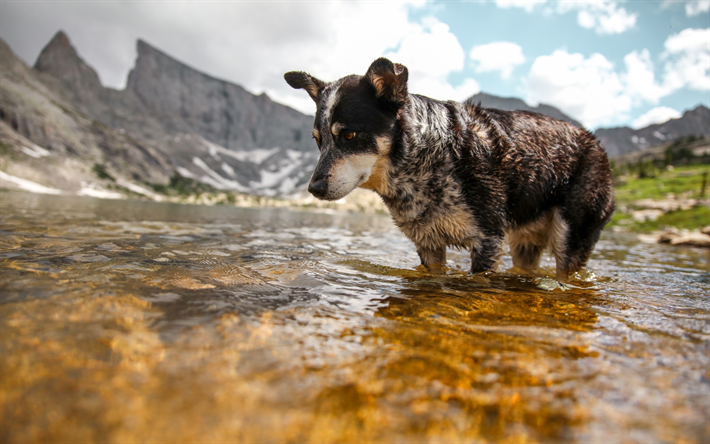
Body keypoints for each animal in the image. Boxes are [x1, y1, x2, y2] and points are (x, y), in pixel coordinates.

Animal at [286, 56, 616, 278]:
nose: (314, 188)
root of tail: (596, 143)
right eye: (318, 141)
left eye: (349, 136)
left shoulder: (488, 241)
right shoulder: (428, 244)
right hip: (524, 244)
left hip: (571, 237)